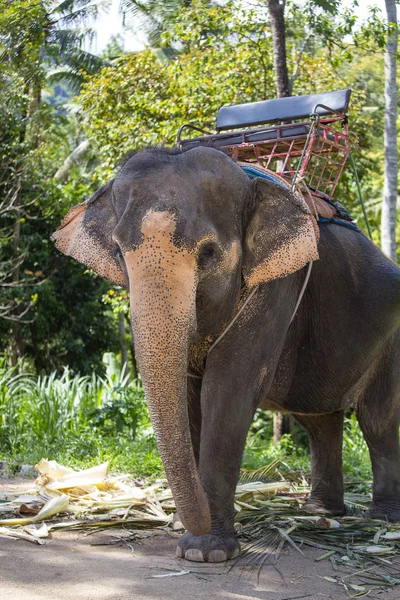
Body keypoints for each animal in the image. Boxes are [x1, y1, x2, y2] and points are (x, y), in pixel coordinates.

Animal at [51, 145, 400, 564]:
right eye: (119, 252)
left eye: (208, 252)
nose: (188, 523)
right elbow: (189, 396)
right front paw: (187, 532)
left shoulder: (276, 285)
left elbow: (227, 389)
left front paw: (206, 552)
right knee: (320, 421)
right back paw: (321, 511)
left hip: (392, 338)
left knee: (378, 421)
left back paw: (382, 519)